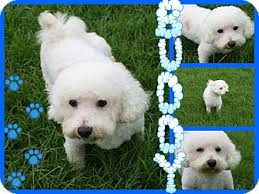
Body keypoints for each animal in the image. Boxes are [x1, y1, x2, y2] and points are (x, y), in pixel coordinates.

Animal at [37, 11, 149, 169]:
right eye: (72, 103)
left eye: (102, 102)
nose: (83, 131)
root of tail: (59, 32)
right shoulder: (73, 143)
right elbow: (76, 162)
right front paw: (78, 173)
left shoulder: (137, 125)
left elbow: (140, 139)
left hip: (102, 44)